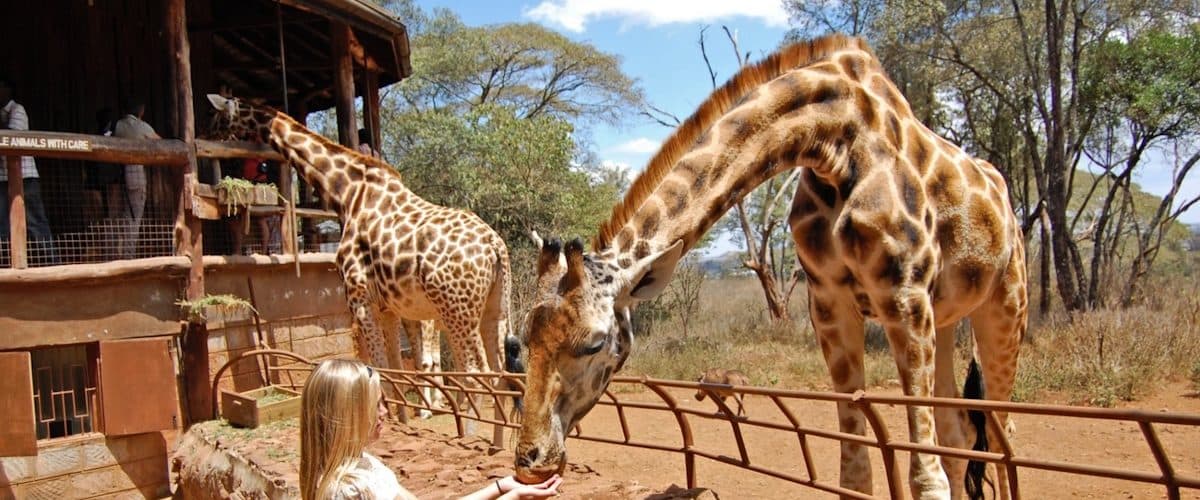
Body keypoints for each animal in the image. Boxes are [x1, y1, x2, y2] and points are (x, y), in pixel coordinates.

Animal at [204, 94, 518, 445]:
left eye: (217, 119)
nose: (208, 142)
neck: (347, 193)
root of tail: (494, 246)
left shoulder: (358, 299)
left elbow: (379, 368)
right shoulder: (389, 307)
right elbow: (396, 368)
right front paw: (401, 419)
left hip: (456, 309)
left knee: (476, 373)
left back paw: (471, 437)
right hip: (493, 307)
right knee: (500, 371)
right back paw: (496, 442)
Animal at [513, 35, 1026, 500]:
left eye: (595, 343)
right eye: (522, 340)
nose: (530, 461)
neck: (834, 140)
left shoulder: (903, 294)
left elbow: (926, 475)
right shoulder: (829, 305)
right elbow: (854, 471)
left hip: (1003, 309)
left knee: (1003, 438)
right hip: (948, 318)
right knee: (961, 430)